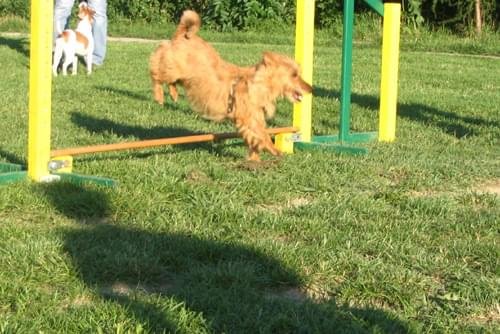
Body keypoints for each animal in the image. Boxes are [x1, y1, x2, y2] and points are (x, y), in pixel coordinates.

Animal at [149, 10, 312, 162]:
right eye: (294, 75)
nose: (311, 89)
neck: (258, 84)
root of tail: (184, 34)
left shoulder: (254, 118)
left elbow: (255, 139)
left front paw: (255, 160)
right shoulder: (249, 119)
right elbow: (263, 134)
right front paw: (274, 150)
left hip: (180, 76)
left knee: (171, 82)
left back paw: (174, 94)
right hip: (171, 67)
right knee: (156, 72)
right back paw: (159, 96)